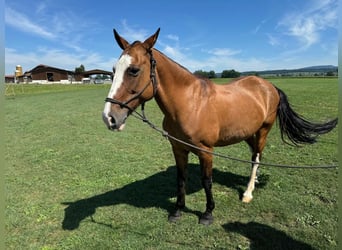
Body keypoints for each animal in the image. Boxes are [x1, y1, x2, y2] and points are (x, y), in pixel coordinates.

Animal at [101, 28, 336, 225]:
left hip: (263, 130)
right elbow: (181, 179)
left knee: (256, 158)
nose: (109, 117)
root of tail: (269, 86)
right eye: (113, 70)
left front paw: (207, 214)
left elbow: (207, 181)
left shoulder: (206, 151)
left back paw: (248, 193)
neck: (190, 102)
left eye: (133, 70)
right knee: (256, 157)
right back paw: (255, 180)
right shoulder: (178, 149)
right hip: (249, 132)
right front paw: (177, 211)